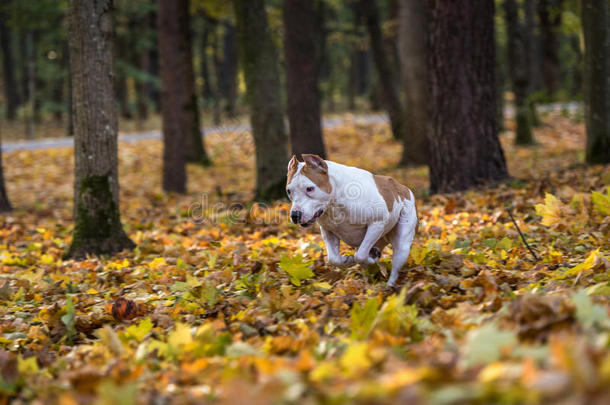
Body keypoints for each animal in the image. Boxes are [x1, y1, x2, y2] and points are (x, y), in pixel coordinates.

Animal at [284, 153, 414, 286]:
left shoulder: (377, 223)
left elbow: (360, 255)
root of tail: (402, 187)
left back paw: (388, 285)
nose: (295, 215)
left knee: (394, 265)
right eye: (289, 191)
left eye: (310, 188)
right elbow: (334, 259)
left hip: (402, 244)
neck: (335, 202)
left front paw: (367, 258)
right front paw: (347, 260)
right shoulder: (328, 231)